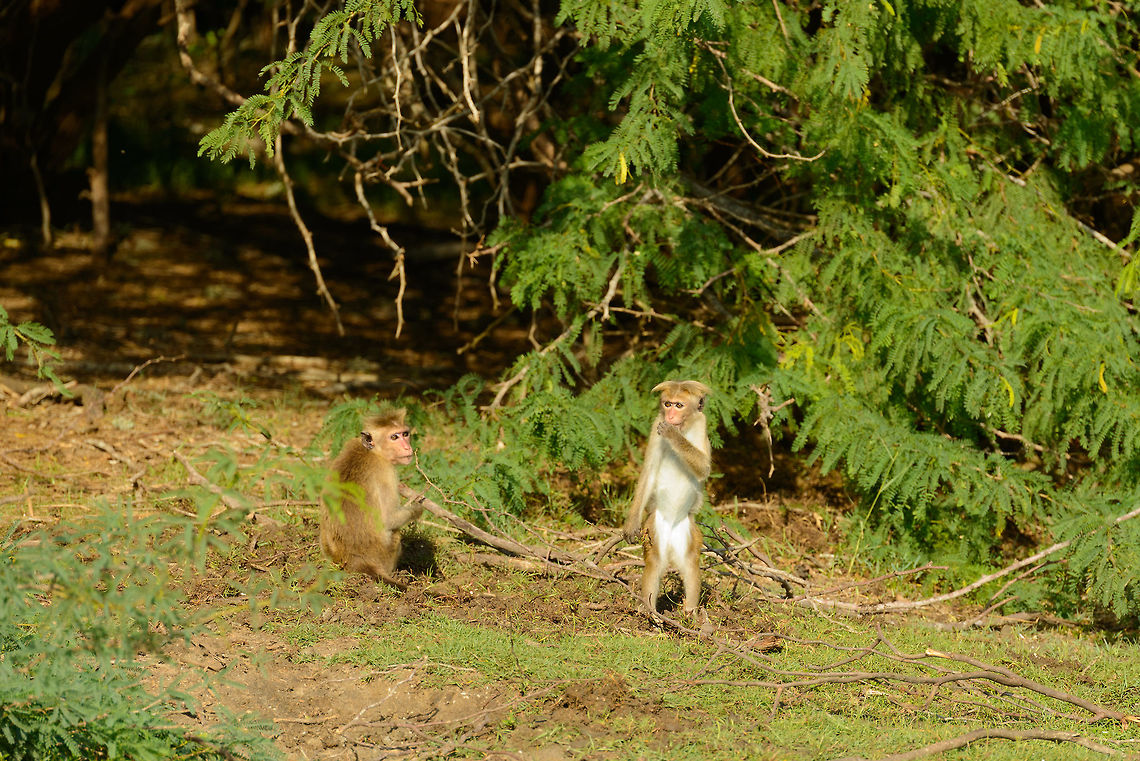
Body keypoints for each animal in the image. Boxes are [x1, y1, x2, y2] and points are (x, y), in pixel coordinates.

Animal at [320, 408, 423, 590]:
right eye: (394, 437)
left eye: (405, 434)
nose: (407, 447)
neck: (372, 451)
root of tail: (354, 559)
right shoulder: (387, 472)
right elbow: (390, 519)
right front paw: (417, 508)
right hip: (386, 554)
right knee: (395, 533)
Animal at [623, 380, 712, 616]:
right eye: (667, 403)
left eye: (679, 405)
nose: (670, 415)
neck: (685, 427)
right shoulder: (656, 426)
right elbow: (649, 471)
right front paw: (631, 523)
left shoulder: (701, 424)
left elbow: (703, 468)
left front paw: (674, 436)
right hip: (655, 528)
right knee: (655, 563)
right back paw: (650, 614)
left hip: (687, 532)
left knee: (690, 565)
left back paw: (690, 614)